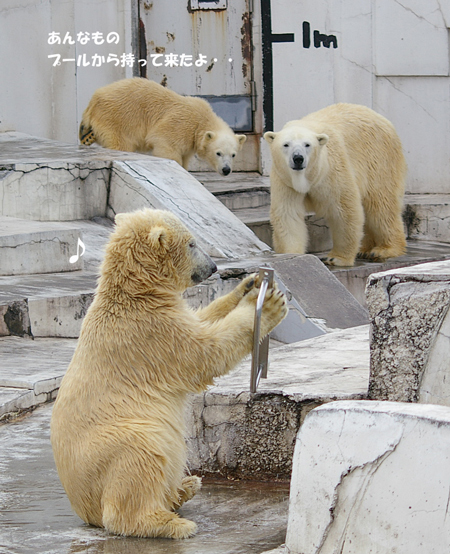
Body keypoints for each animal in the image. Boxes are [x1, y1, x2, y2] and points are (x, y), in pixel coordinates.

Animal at [50, 206, 288, 536]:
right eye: (191, 243)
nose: (213, 267)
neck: (135, 292)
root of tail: (83, 507)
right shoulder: (153, 332)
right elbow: (205, 353)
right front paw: (267, 305)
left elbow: (201, 319)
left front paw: (246, 286)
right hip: (116, 442)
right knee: (142, 456)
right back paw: (171, 521)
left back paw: (186, 486)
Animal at [80, 77, 246, 175]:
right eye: (218, 153)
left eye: (233, 154)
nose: (226, 170)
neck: (200, 120)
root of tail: (94, 100)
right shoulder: (179, 125)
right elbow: (166, 145)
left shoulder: (190, 142)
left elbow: (185, 156)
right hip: (119, 118)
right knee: (121, 143)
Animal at [264, 105, 408, 268]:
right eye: (286, 144)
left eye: (307, 144)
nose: (298, 158)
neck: (310, 176)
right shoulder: (285, 180)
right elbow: (288, 214)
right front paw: (292, 255)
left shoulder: (332, 171)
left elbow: (344, 211)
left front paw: (336, 258)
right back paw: (365, 249)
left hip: (379, 159)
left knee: (381, 206)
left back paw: (384, 249)